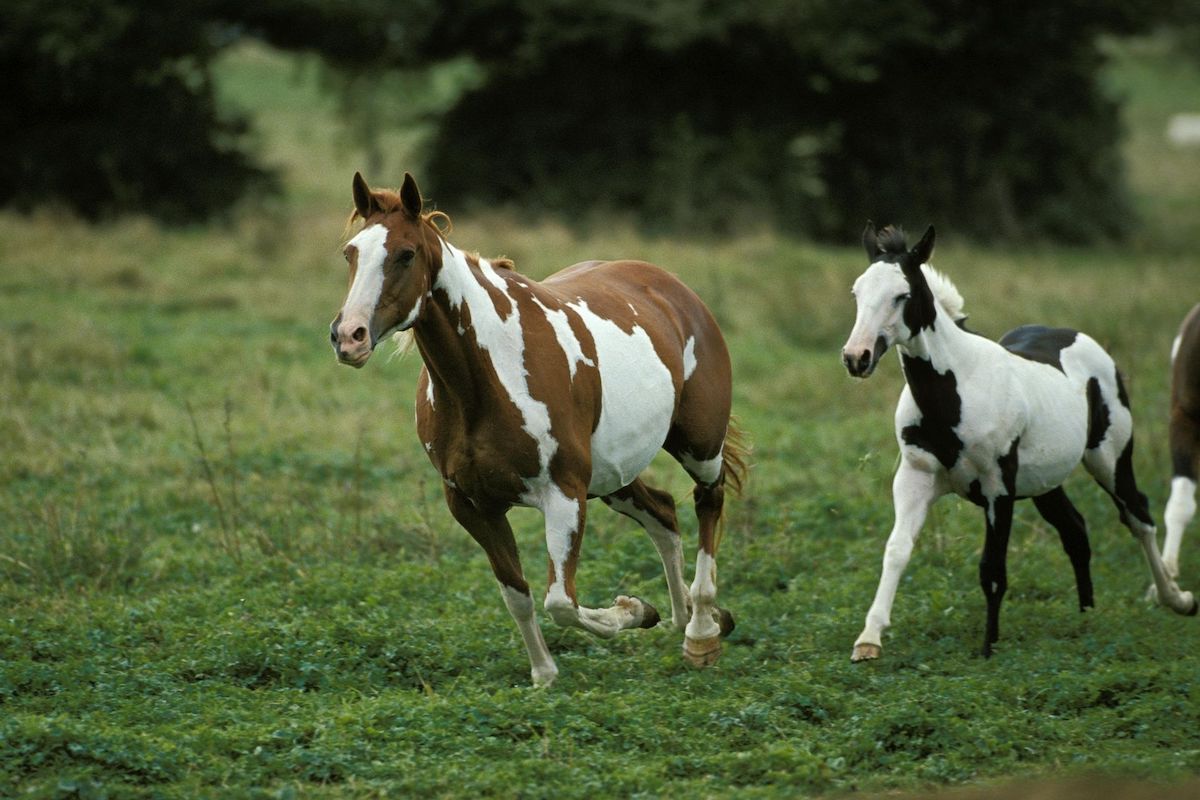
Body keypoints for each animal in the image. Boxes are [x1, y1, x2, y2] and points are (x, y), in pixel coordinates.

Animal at [328, 173, 739, 690]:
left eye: (406, 254)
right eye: (350, 252)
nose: (349, 336)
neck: (483, 381)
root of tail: (676, 290)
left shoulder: (563, 494)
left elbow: (560, 601)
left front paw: (632, 610)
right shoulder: (472, 504)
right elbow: (518, 596)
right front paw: (545, 673)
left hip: (697, 446)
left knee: (708, 502)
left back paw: (701, 631)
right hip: (612, 476)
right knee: (664, 514)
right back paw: (686, 616)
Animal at [840, 221, 1195, 662]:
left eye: (901, 296)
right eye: (857, 293)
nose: (857, 357)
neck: (956, 391)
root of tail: (1085, 341)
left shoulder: (998, 488)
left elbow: (992, 569)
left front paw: (988, 648)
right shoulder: (915, 477)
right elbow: (897, 550)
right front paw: (868, 640)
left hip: (1109, 459)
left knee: (1138, 516)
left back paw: (1176, 600)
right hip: (1045, 482)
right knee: (1076, 530)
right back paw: (1087, 616)